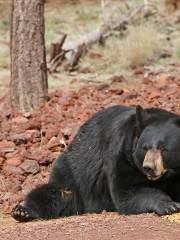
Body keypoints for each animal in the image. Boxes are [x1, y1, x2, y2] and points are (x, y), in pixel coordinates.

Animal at [11, 105, 180, 221]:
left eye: (164, 149)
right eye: (145, 148)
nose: (148, 168)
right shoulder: (122, 155)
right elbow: (127, 193)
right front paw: (168, 205)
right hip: (72, 173)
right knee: (57, 194)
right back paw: (22, 211)